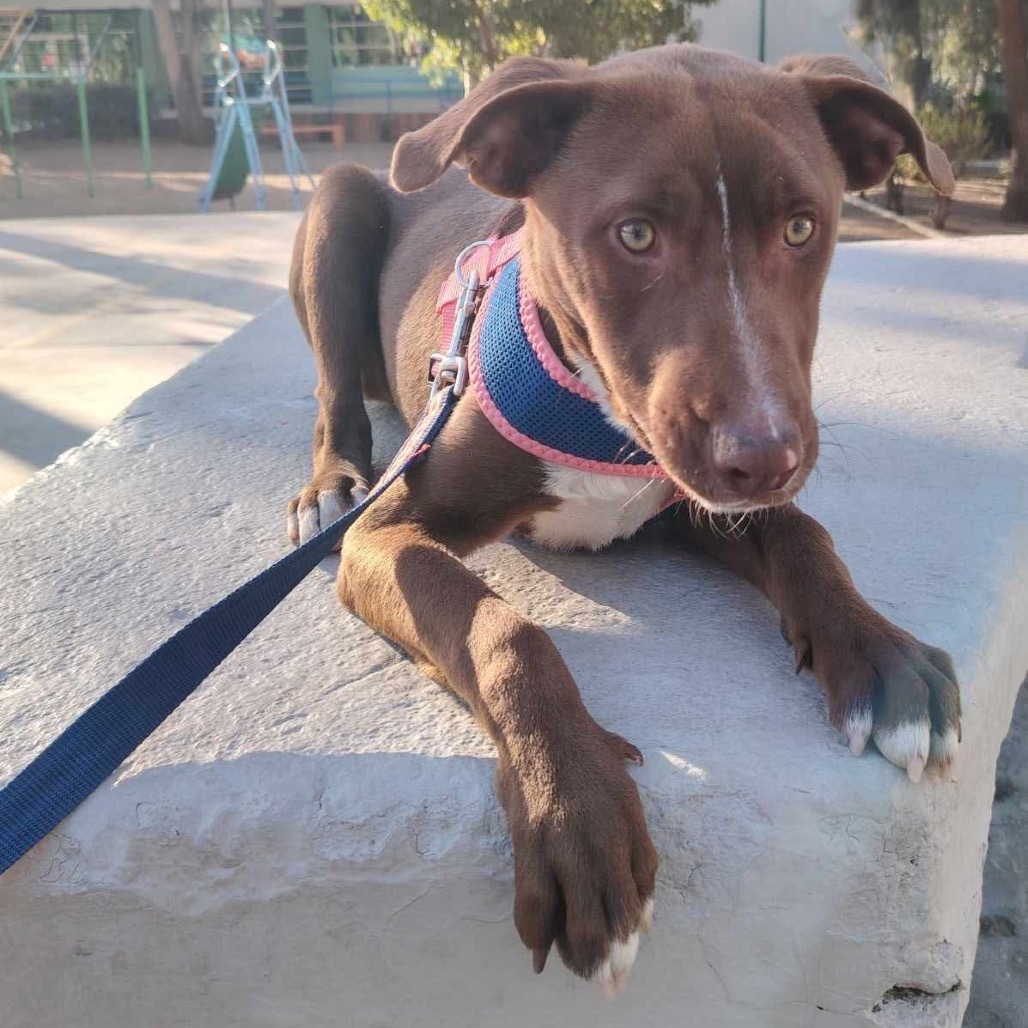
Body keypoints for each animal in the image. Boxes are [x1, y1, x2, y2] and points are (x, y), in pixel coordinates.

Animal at [285, 44, 958, 990]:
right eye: (635, 234)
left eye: (802, 228)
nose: (767, 459)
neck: (595, 412)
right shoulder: (387, 539)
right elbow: (504, 631)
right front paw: (574, 812)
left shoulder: (692, 490)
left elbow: (803, 535)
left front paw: (880, 650)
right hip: (338, 202)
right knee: (333, 390)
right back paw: (332, 482)